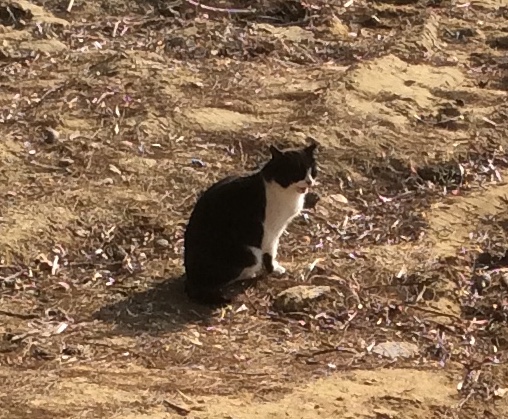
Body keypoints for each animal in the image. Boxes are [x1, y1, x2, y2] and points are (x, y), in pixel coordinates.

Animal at [183, 141, 318, 305]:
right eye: (297, 172)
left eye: (312, 171)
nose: (309, 181)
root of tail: (191, 280)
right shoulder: (269, 231)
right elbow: (270, 252)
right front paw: (273, 269)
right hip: (249, 253)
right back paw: (250, 273)